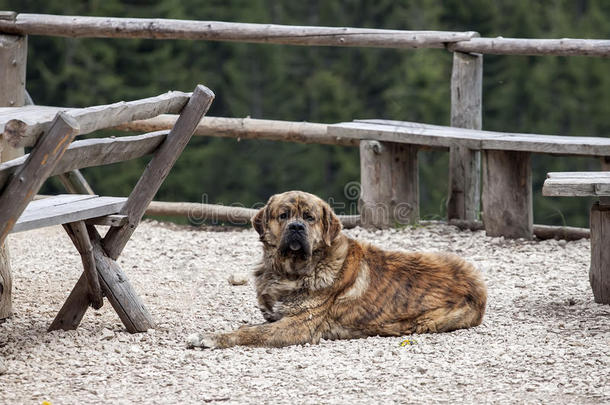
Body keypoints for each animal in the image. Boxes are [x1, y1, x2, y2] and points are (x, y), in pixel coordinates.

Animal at [185, 190, 484, 348]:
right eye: (284, 215)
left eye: (309, 217)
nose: (296, 227)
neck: (291, 271)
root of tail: (479, 288)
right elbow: (252, 324)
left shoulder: (298, 326)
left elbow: (250, 332)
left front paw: (208, 337)